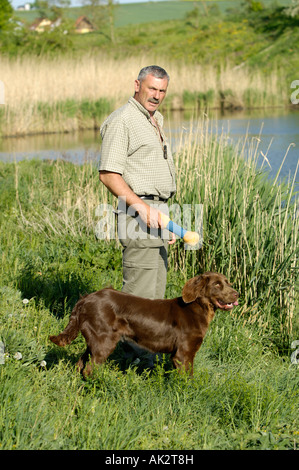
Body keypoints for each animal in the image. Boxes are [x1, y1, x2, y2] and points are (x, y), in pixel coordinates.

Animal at [50, 272, 240, 374]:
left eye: (228, 282)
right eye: (217, 284)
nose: (237, 294)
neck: (197, 308)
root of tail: (86, 298)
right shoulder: (182, 354)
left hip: (94, 340)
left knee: (80, 364)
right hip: (104, 341)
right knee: (89, 368)